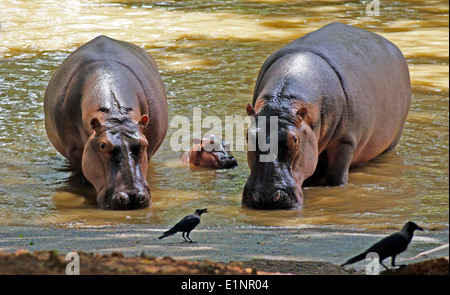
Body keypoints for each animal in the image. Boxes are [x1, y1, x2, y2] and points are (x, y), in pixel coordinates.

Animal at [243, 23, 412, 210]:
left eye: (295, 139)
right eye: (247, 137)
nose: (266, 198)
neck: (282, 102)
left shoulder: (345, 141)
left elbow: (336, 179)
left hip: (390, 143)